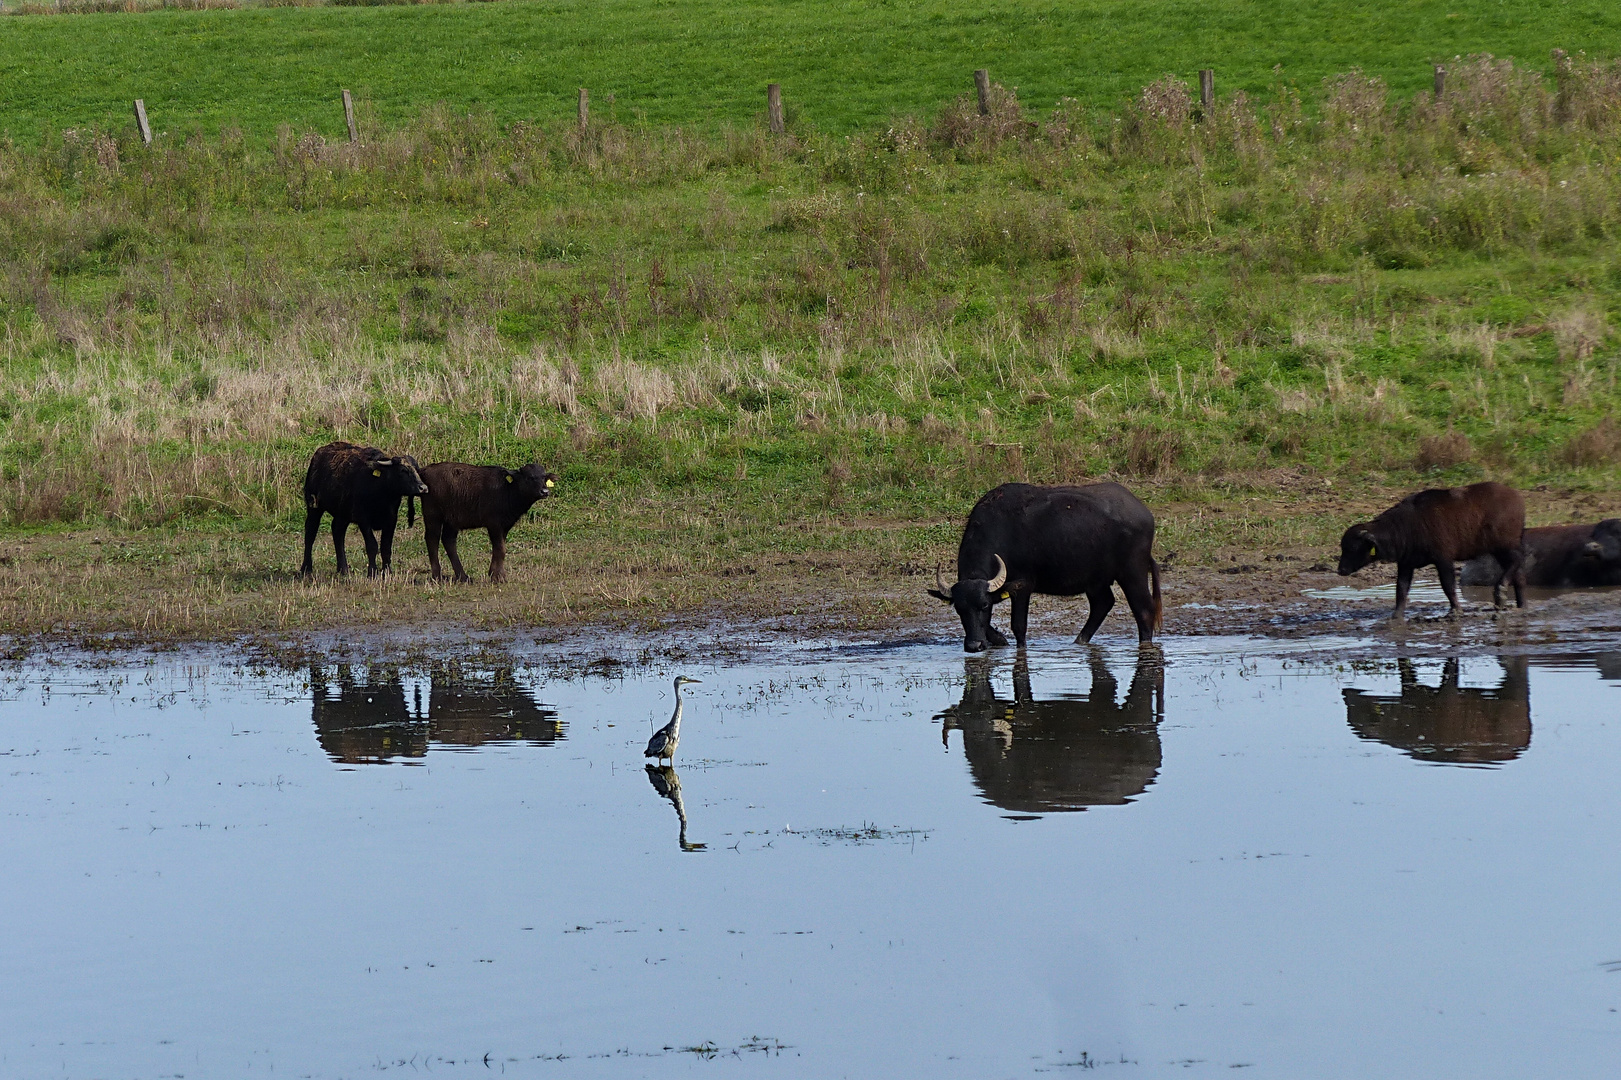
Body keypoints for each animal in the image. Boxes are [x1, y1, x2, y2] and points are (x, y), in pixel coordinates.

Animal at [298, 437, 424, 577]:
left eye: (416, 469)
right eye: (403, 470)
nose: (423, 488)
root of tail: (318, 455)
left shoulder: (391, 519)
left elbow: (386, 547)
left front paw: (387, 572)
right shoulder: (363, 519)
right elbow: (372, 545)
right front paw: (372, 572)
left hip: (342, 514)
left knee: (337, 532)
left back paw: (343, 569)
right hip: (314, 506)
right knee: (310, 532)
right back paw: (306, 569)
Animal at [418, 460, 557, 583]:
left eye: (544, 477)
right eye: (529, 477)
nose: (545, 492)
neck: (507, 490)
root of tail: (425, 470)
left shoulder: (504, 526)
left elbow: (498, 549)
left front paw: (497, 575)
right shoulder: (494, 525)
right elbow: (501, 549)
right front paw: (497, 578)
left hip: (451, 520)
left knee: (448, 541)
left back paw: (463, 576)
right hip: (433, 515)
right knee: (432, 539)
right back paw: (437, 576)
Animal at [927, 480, 1167, 648]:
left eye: (984, 605)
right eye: (959, 609)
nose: (973, 646)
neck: (1000, 531)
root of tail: (1144, 512)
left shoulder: (1022, 586)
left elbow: (1018, 626)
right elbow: (987, 626)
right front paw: (999, 640)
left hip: (1132, 572)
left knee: (1144, 610)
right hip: (1096, 581)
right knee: (1103, 603)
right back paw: (1079, 641)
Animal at [1335, 480, 1523, 612]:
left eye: (1352, 548)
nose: (1341, 570)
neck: (1405, 526)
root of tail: (1516, 498)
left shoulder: (1443, 560)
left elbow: (1448, 586)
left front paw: (1456, 609)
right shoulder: (1406, 564)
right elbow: (1401, 590)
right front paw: (1396, 616)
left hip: (1504, 546)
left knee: (1516, 562)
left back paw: (1501, 592)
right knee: (1518, 575)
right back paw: (1520, 604)